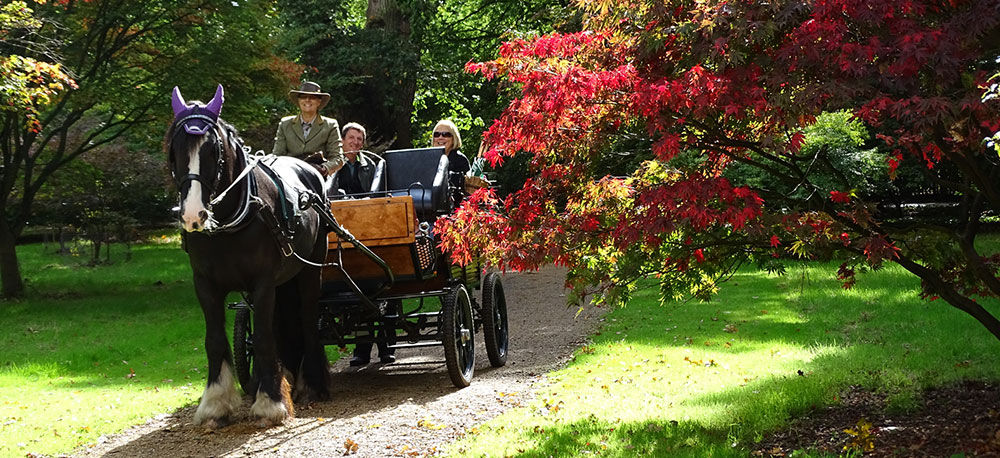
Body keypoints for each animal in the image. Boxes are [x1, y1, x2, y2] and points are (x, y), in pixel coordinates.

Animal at [165, 84, 332, 428]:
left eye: (212, 150)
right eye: (174, 149)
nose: (192, 215)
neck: (228, 222)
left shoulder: (263, 283)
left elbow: (266, 337)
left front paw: (270, 402)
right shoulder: (205, 285)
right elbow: (216, 339)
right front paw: (216, 403)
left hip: (311, 269)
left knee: (308, 318)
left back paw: (312, 383)